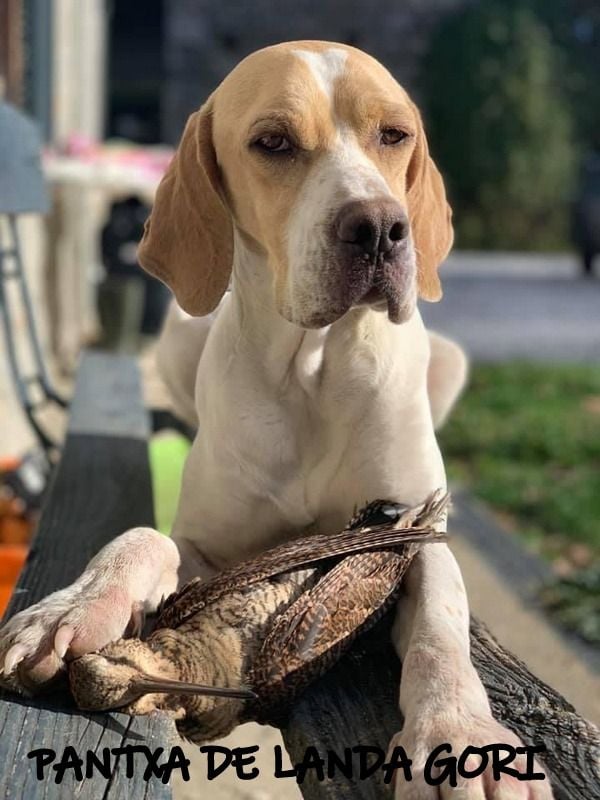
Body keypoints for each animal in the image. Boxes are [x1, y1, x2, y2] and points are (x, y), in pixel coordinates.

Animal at [1, 43, 552, 800]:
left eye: (395, 135)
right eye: (273, 143)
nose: (379, 227)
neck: (312, 373)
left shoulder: (418, 535)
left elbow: (441, 632)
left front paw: (460, 738)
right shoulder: (208, 549)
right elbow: (144, 536)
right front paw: (73, 609)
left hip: (449, 361)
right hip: (178, 339)